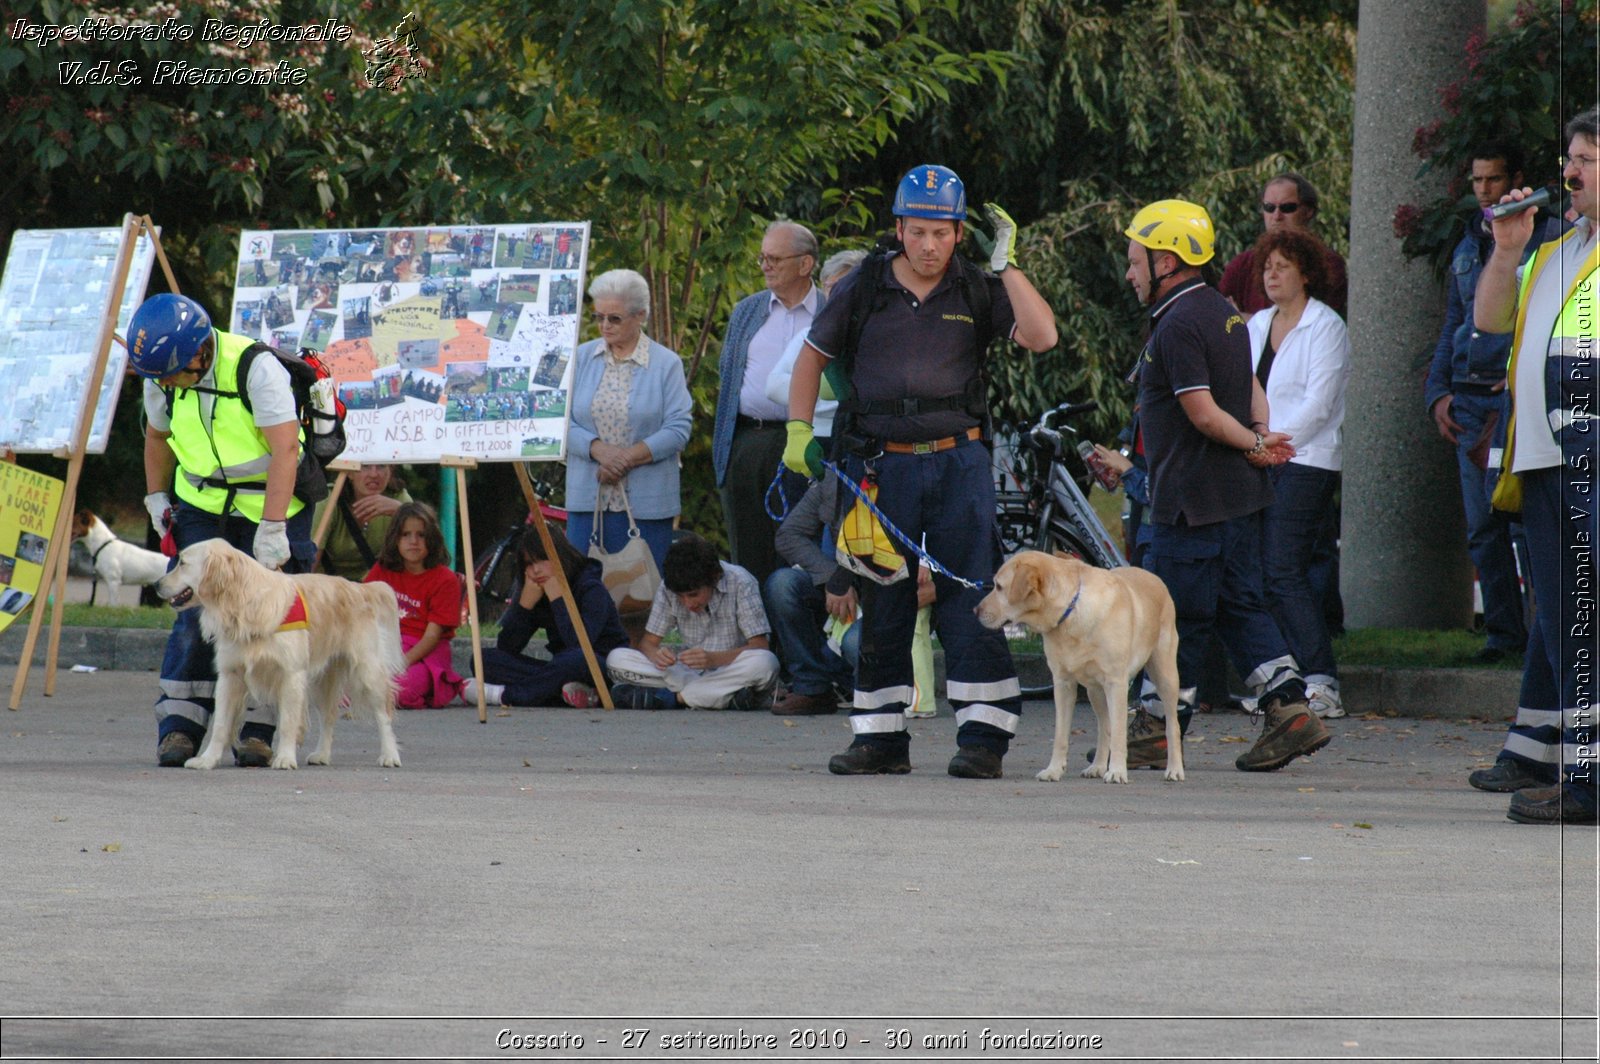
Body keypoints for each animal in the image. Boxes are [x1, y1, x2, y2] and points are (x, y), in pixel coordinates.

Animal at [154, 534, 406, 768]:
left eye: (183, 563)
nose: (156, 584)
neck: (244, 603)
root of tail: (359, 587)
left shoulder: (291, 674)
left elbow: (287, 723)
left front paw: (285, 758)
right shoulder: (229, 675)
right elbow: (220, 725)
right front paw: (207, 760)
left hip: (367, 671)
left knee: (384, 714)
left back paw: (390, 755)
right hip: (323, 679)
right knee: (329, 716)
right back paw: (322, 754)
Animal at [966, 550, 1184, 784]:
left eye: (998, 586)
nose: (975, 610)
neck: (1070, 611)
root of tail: (1154, 577)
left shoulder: (1116, 683)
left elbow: (1119, 734)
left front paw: (1117, 771)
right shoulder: (1063, 684)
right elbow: (1062, 735)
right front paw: (1053, 770)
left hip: (1165, 675)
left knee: (1172, 725)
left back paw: (1174, 769)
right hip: (1094, 691)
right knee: (1104, 727)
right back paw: (1098, 766)